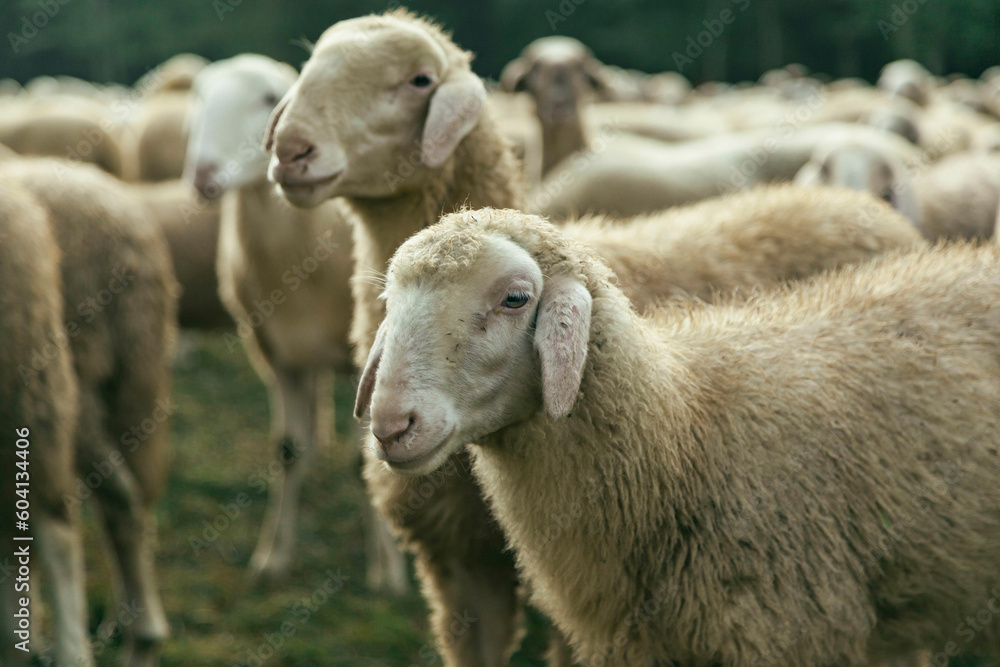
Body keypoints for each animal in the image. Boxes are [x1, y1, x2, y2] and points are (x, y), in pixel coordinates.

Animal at [186, 53, 408, 591]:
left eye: (269, 98)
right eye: (198, 96)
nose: (202, 176)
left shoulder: (363, 358)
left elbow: (364, 457)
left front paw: (386, 569)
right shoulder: (274, 351)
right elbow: (286, 451)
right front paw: (274, 557)